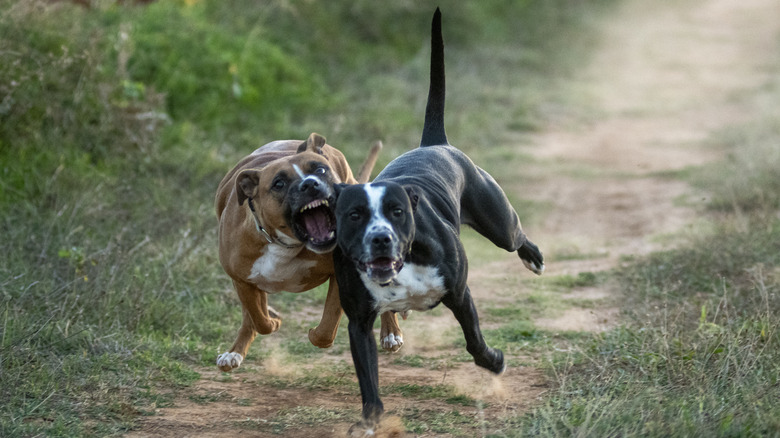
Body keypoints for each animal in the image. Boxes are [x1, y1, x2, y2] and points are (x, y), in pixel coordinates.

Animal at [213, 133, 400, 370]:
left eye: (320, 170)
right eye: (279, 183)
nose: (310, 183)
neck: (286, 244)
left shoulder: (341, 275)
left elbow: (327, 327)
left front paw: (312, 334)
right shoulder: (242, 280)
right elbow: (258, 319)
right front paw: (272, 320)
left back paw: (391, 333)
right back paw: (235, 352)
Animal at [332, 6, 544, 424]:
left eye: (397, 212)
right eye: (354, 215)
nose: (380, 238)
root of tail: (435, 143)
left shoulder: (459, 293)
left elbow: (475, 343)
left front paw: (495, 362)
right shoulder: (359, 323)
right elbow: (368, 377)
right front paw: (372, 420)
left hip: (498, 222)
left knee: (516, 238)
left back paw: (534, 258)